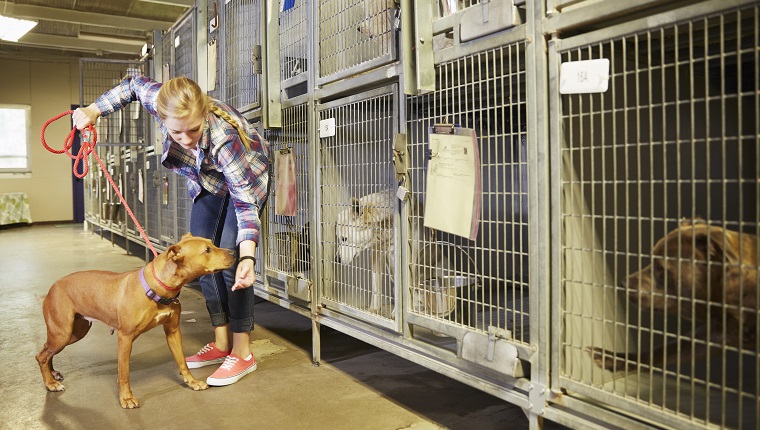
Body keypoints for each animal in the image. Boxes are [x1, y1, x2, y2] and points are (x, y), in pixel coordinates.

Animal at [35, 233, 235, 408]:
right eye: (207, 250)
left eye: (212, 243)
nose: (233, 252)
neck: (157, 288)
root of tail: (53, 287)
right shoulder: (125, 338)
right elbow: (124, 373)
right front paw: (126, 398)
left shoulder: (173, 331)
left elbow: (182, 362)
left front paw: (192, 382)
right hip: (62, 333)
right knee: (41, 355)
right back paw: (50, 384)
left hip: (75, 332)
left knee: (46, 350)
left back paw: (53, 375)